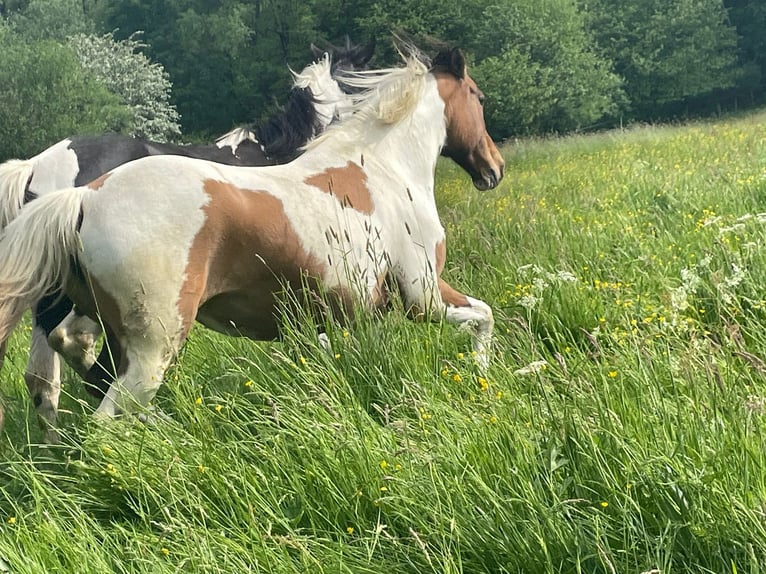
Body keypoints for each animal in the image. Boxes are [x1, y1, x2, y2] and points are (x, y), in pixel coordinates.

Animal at [0, 46, 504, 428]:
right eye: (478, 97)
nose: (493, 169)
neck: (379, 167)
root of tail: (83, 197)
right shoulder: (424, 296)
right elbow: (484, 316)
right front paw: (482, 379)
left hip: (111, 333)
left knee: (72, 378)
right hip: (152, 346)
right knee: (101, 413)